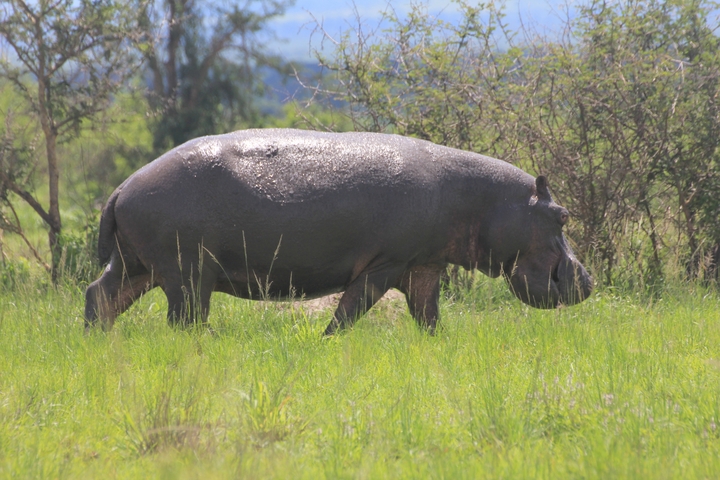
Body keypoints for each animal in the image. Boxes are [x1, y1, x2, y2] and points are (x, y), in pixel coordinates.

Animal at [85, 128, 592, 334]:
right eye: (563, 215)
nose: (588, 279)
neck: (483, 199)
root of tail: (122, 188)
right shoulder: (384, 264)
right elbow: (350, 312)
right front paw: (324, 343)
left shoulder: (423, 265)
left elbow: (428, 317)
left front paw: (440, 348)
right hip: (187, 273)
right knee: (185, 320)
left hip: (138, 266)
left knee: (100, 295)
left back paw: (98, 341)